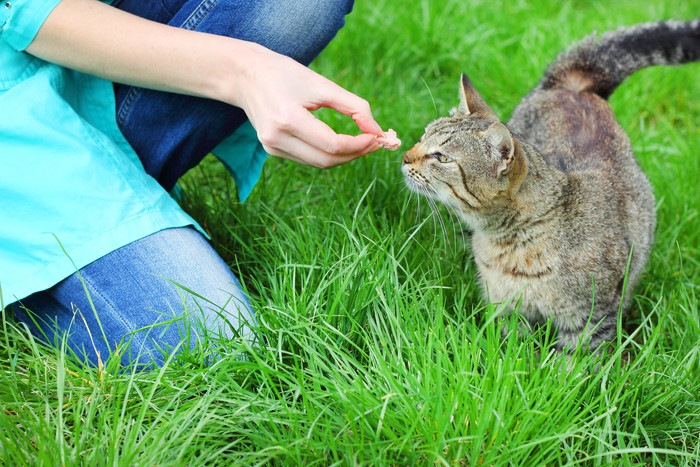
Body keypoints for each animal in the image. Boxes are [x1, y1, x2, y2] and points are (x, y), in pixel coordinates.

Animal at [404, 20, 700, 352]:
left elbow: (573, 362)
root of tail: (572, 87)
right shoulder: (508, 311)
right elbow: (513, 353)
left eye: (441, 157)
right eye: (424, 136)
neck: (507, 243)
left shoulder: (590, 320)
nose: (405, 156)